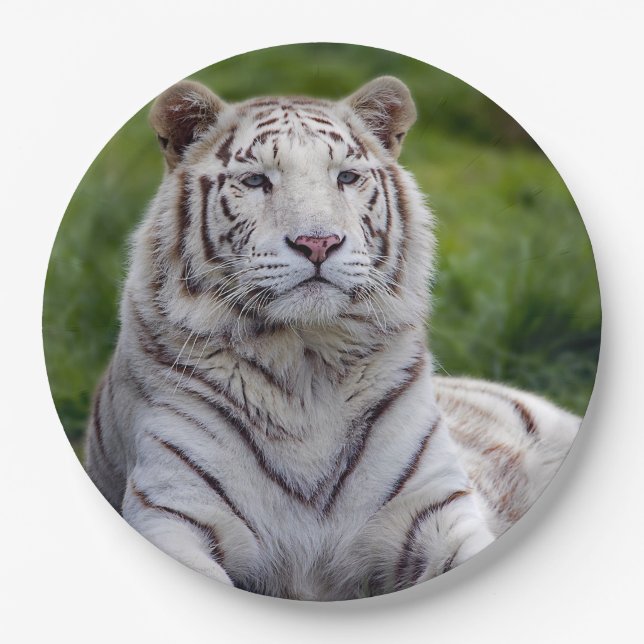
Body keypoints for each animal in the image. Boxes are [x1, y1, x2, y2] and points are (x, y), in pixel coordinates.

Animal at [84, 76, 580, 600]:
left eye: (346, 177)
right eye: (256, 181)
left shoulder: (432, 508)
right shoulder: (174, 510)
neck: (307, 365)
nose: (318, 243)